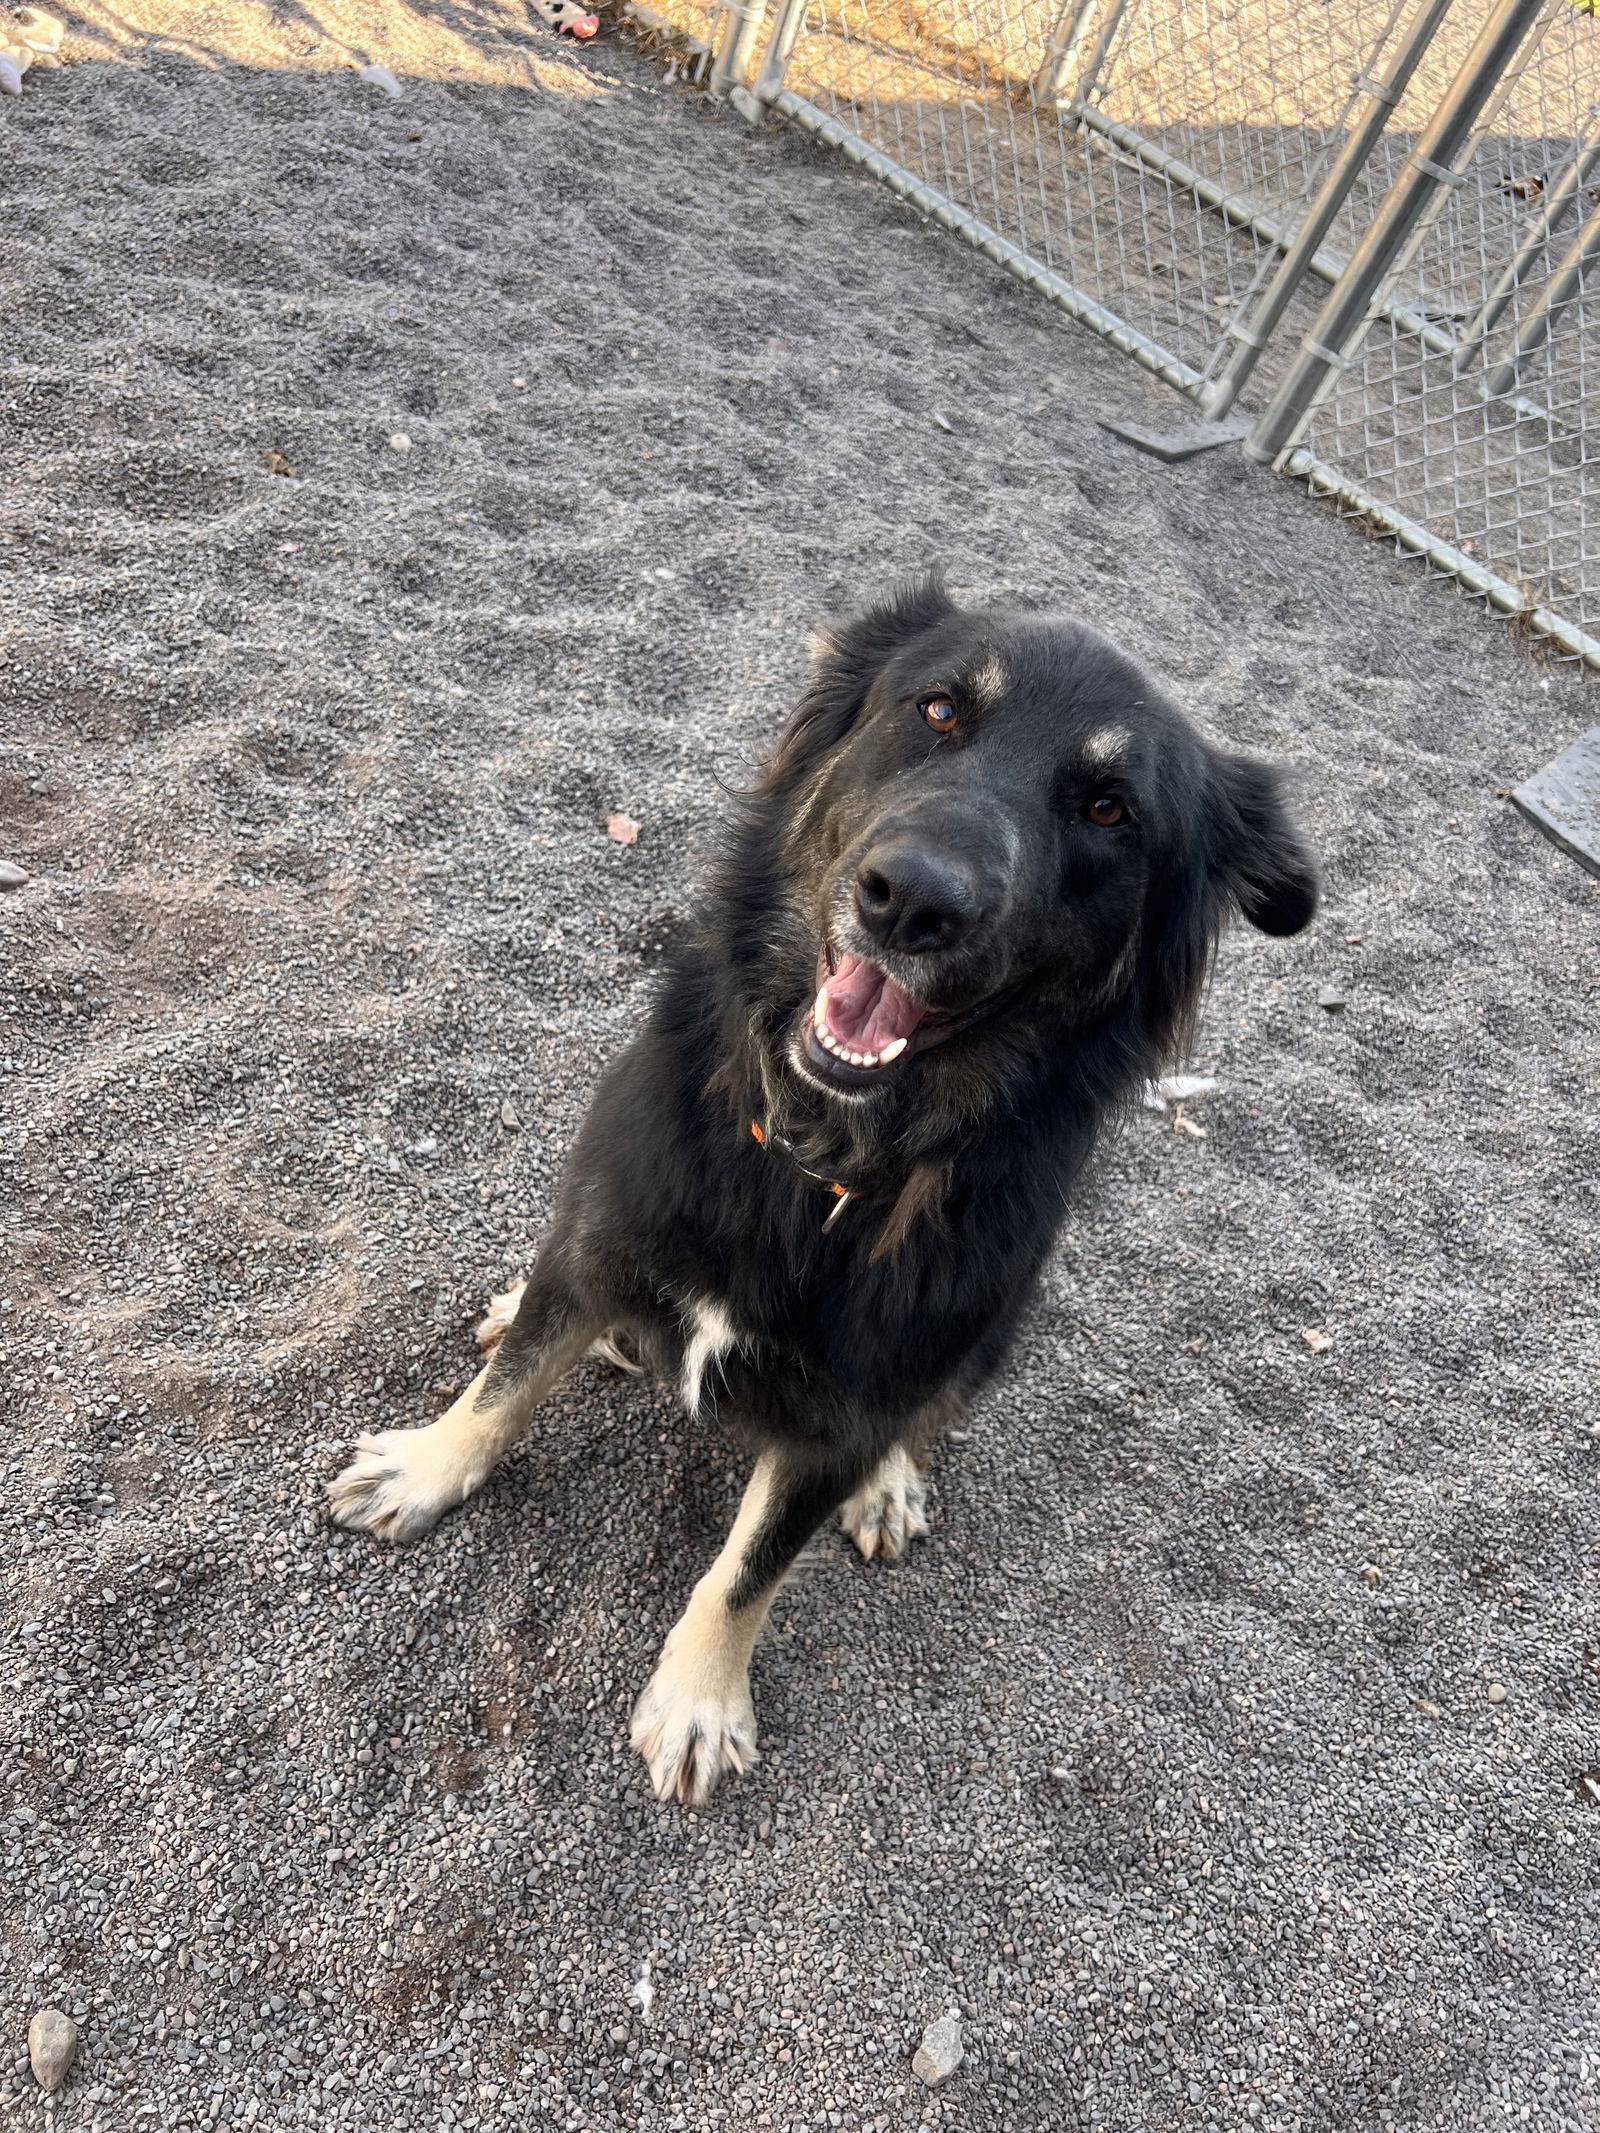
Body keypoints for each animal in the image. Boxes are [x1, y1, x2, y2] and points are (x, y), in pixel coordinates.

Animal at [326, 571, 1314, 1800]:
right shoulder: (605, 1224)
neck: (821, 1162)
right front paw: (429, 1463)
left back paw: (889, 1485)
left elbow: (749, 1566)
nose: (912, 901)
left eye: (1107, 809)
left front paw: (701, 1698)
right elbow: (505, 1388)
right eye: (937, 710)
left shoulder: (844, 1413)